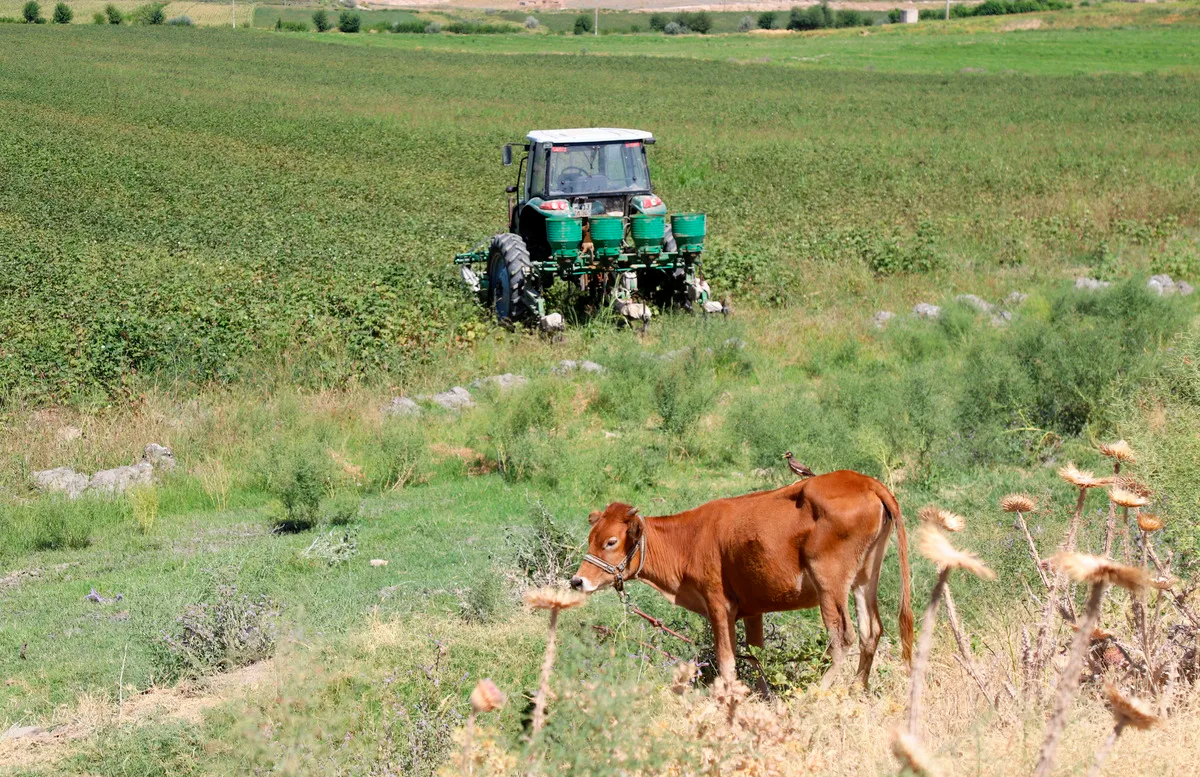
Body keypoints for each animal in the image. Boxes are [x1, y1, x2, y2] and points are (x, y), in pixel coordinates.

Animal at [566, 470, 912, 690]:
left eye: (611, 542)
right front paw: (760, 694)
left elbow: (727, 660)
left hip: (830, 582)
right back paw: (857, 688)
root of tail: (865, 481)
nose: (577, 581)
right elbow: (756, 655)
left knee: (843, 637)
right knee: (871, 631)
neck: (690, 539)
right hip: (864, 579)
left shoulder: (718, 604)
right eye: (591, 537)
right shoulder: (753, 608)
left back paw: (820, 691)